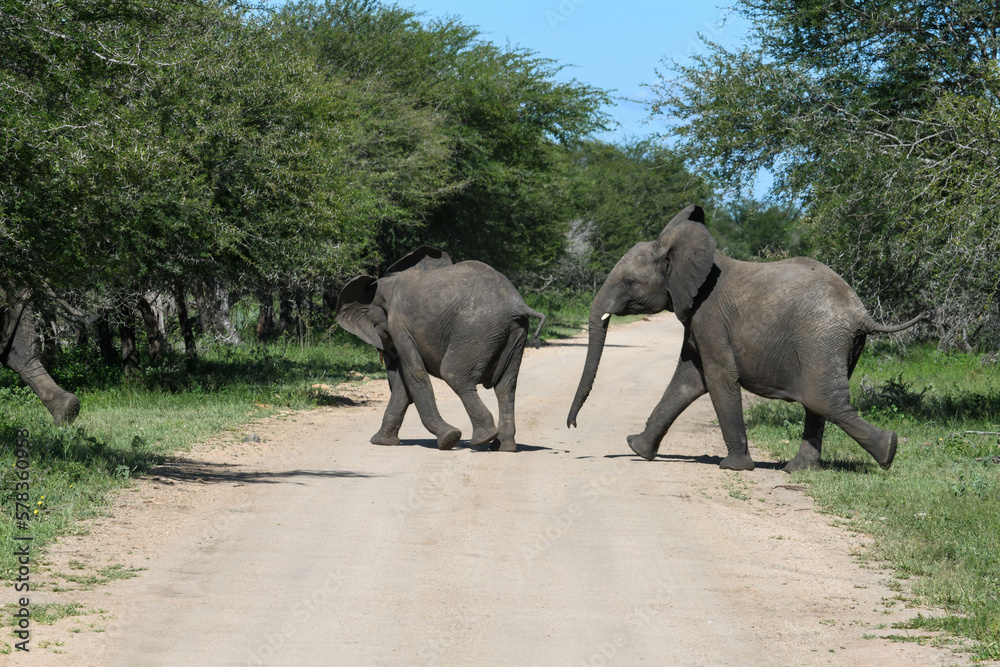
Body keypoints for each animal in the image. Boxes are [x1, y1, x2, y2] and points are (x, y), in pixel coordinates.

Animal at [336, 246, 546, 452]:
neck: (384, 285)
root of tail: (517, 303)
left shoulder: (399, 324)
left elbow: (415, 373)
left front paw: (449, 439)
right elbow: (404, 383)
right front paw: (382, 442)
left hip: (477, 329)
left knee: (454, 374)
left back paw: (483, 438)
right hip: (515, 333)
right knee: (506, 386)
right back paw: (503, 446)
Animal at [567, 205, 923, 472]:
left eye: (629, 282)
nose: (572, 427)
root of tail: (860, 312)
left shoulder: (709, 316)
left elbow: (718, 377)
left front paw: (734, 467)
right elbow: (687, 380)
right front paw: (637, 448)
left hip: (820, 338)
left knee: (822, 400)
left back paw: (888, 451)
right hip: (840, 343)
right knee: (818, 402)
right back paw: (799, 470)